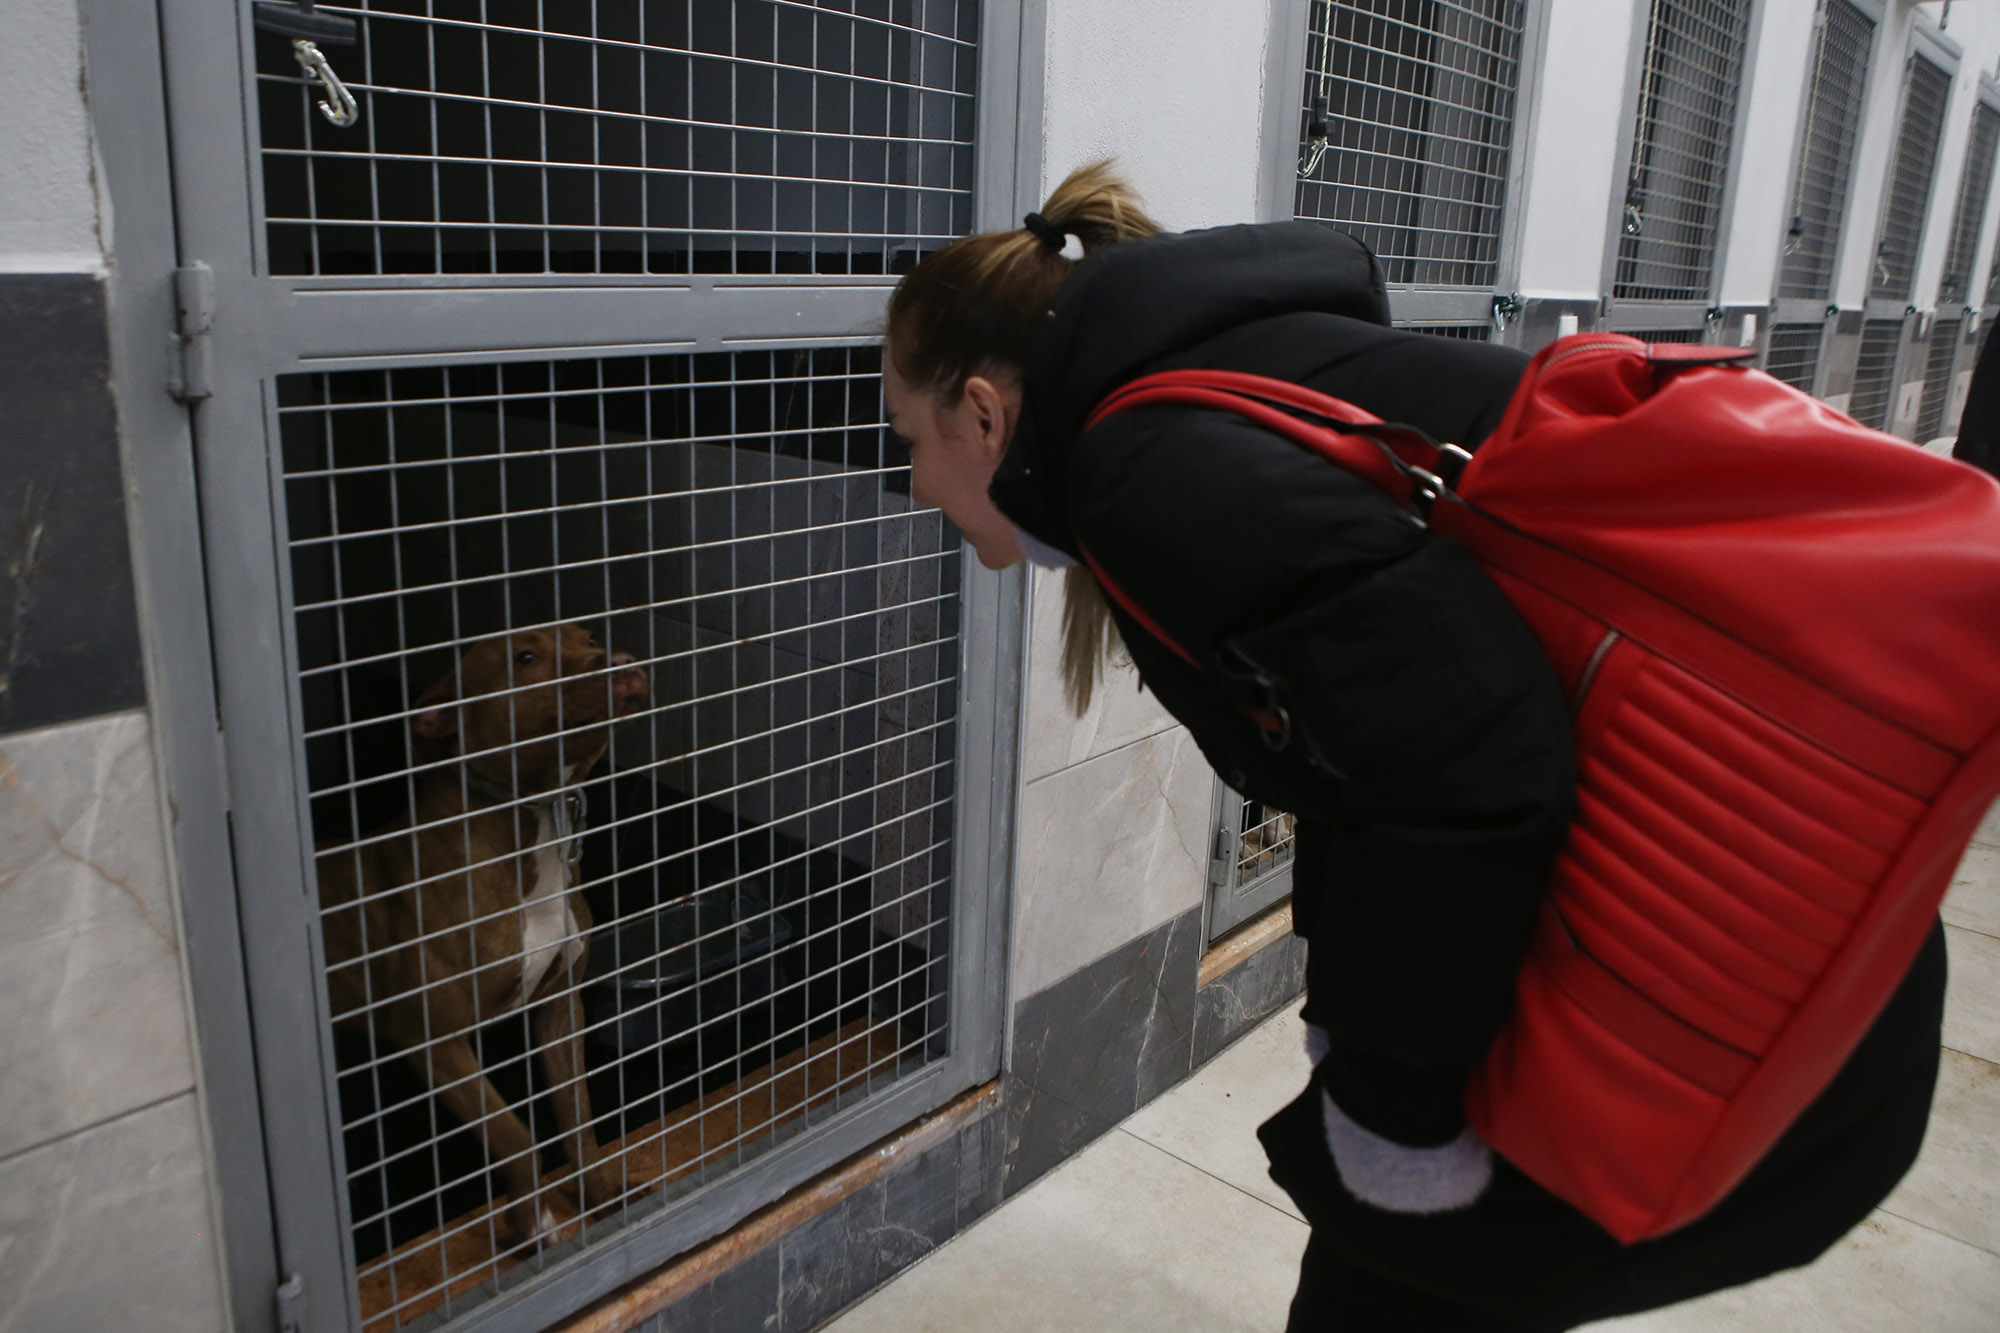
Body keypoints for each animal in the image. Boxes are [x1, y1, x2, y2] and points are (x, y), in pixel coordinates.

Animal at [316, 624, 652, 1232]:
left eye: (589, 635)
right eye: (525, 657)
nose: (621, 659)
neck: (532, 826)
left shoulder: (561, 1011)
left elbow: (580, 1122)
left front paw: (602, 1198)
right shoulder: (435, 1040)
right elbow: (514, 1136)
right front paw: (533, 1226)